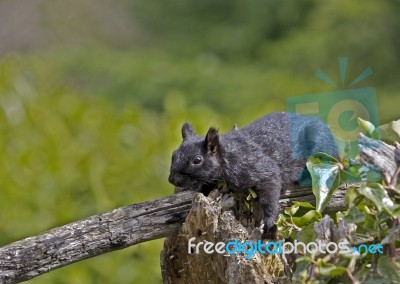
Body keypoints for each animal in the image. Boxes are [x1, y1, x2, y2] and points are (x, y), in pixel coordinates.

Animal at [168, 112, 338, 239]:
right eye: (173, 155)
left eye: (197, 160)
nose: (172, 179)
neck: (227, 156)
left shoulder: (259, 169)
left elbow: (269, 194)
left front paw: (269, 223)